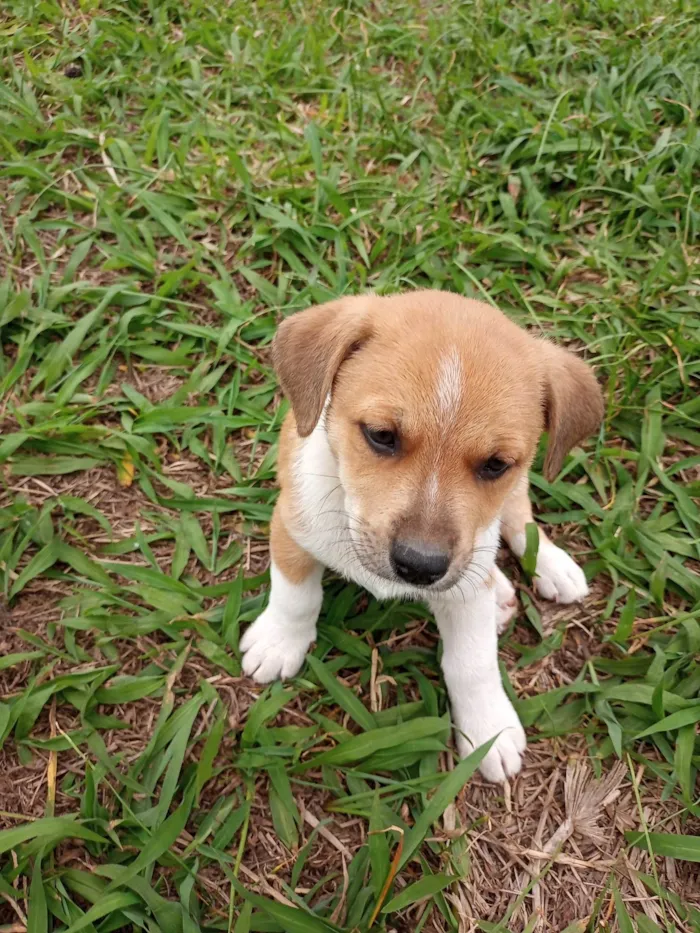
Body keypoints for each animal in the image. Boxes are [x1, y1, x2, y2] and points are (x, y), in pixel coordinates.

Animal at [241, 290, 600, 780]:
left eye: (495, 464)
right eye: (380, 435)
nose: (419, 566)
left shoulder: (466, 581)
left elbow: (472, 661)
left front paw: (488, 728)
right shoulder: (291, 528)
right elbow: (295, 596)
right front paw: (279, 642)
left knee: (517, 518)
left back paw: (550, 568)